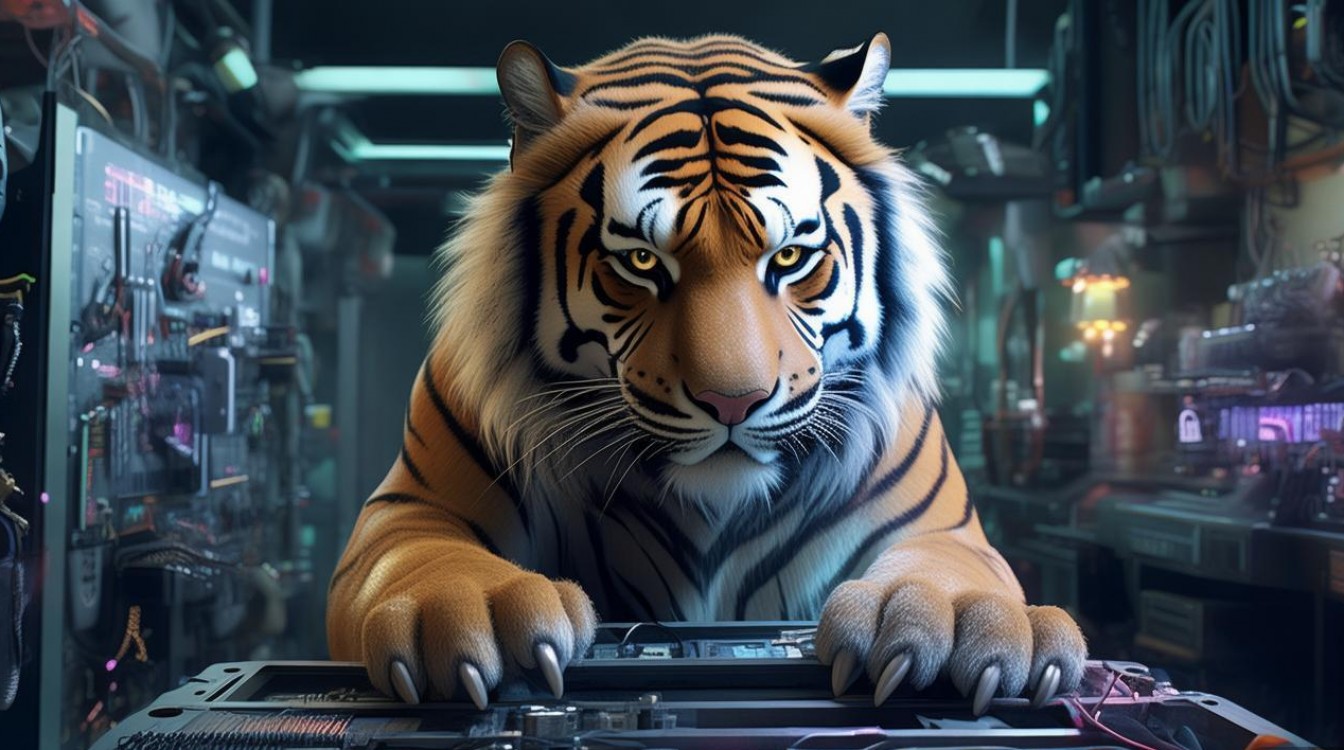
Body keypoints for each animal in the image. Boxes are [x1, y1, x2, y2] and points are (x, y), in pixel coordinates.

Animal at [326, 32, 1087, 714]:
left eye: (789, 257)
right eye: (640, 261)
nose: (732, 402)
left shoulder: (941, 530)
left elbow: (949, 569)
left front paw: (956, 617)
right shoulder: (413, 507)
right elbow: (425, 560)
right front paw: (476, 608)